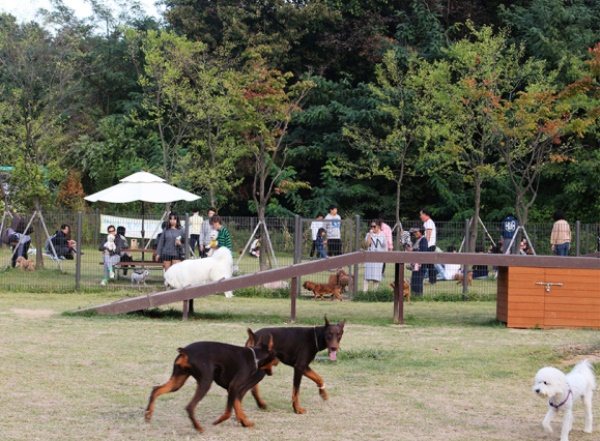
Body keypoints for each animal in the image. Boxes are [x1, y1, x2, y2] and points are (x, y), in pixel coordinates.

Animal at [144, 328, 278, 432]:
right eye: (275, 354)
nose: (278, 360)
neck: (255, 356)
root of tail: (186, 351)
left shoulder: (233, 389)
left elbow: (237, 406)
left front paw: (245, 422)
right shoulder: (234, 386)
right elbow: (229, 411)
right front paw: (218, 421)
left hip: (177, 381)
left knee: (156, 390)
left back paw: (148, 414)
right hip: (205, 383)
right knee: (190, 407)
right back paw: (198, 427)